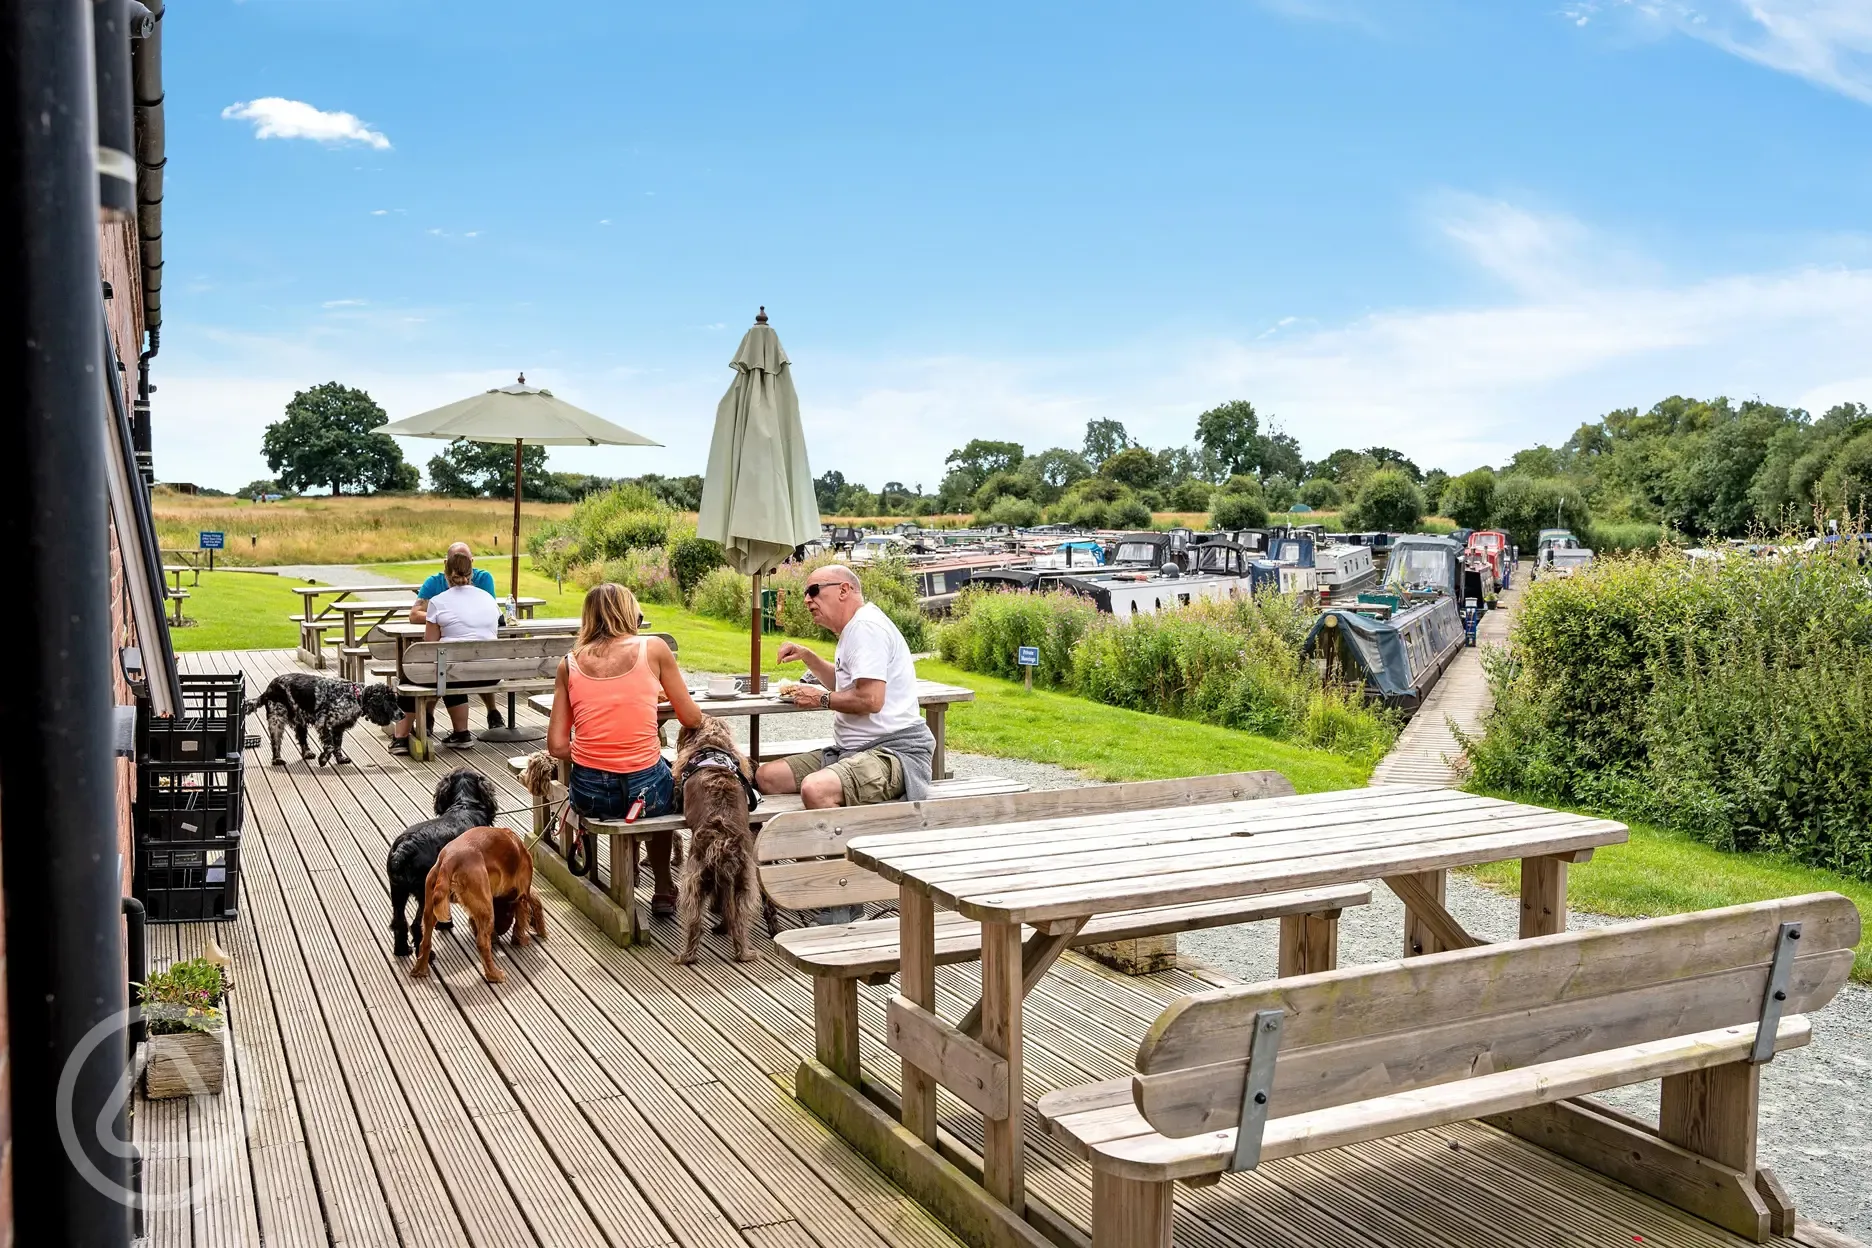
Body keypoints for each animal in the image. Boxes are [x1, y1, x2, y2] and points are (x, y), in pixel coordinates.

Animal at [252, 677, 402, 767]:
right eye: (391, 702)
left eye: (396, 701)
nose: (403, 714)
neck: (355, 696)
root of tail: (268, 689)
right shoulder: (323, 723)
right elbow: (330, 746)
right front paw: (323, 759)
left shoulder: (338, 728)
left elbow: (337, 746)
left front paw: (340, 759)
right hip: (276, 719)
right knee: (275, 743)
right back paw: (277, 759)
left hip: (300, 720)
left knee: (302, 739)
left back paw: (307, 753)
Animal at [385, 770, 497, 957]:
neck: (464, 805)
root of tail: (404, 849)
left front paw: (445, 924)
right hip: (423, 893)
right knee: (416, 925)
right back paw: (426, 955)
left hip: (398, 892)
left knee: (399, 922)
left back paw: (401, 950)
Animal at [411, 830, 546, 987]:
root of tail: (447, 861)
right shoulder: (522, 893)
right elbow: (525, 914)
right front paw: (525, 937)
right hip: (486, 908)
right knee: (482, 943)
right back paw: (494, 974)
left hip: (429, 908)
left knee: (425, 941)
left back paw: (419, 970)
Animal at [673, 718, 760, 965]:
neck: (713, 748)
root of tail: (723, 844)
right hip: (744, 884)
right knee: (738, 921)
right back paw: (743, 951)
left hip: (693, 881)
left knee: (695, 924)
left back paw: (686, 956)